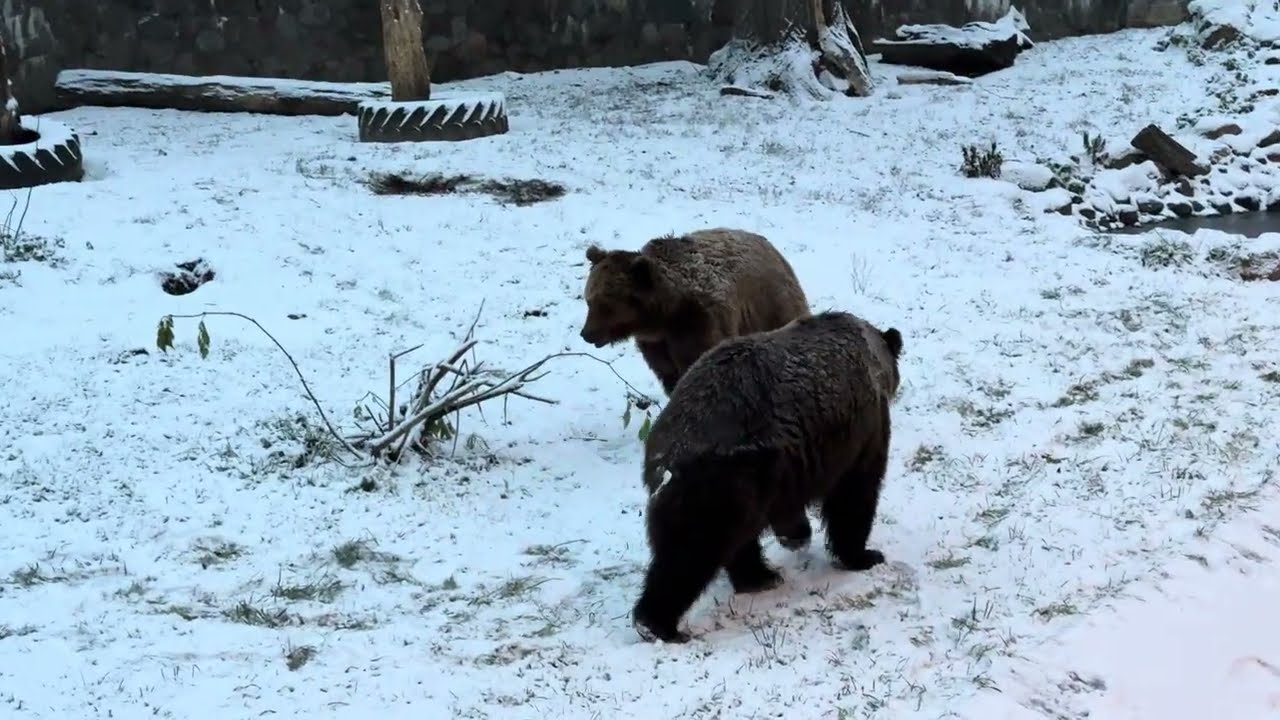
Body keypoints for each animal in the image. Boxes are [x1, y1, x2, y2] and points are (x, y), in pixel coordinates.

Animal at [578, 227, 809, 396]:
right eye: (589, 300)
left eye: (606, 305)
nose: (587, 334)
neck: (662, 316)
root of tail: (770, 247)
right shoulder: (657, 346)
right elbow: (670, 375)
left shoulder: (699, 325)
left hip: (770, 305)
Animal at [631, 310, 904, 644]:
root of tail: (664, 453)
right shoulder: (857, 434)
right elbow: (854, 495)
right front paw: (863, 555)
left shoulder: (794, 461)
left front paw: (798, 535)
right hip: (725, 478)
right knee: (691, 552)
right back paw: (661, 624)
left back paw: (760, 577)